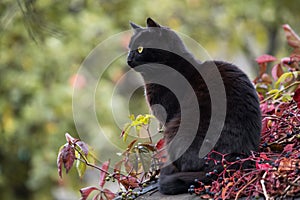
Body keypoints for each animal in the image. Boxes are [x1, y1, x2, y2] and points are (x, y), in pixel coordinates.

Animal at [126, 18, 260, 195]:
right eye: (129, 49)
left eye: (140, 49)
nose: (128, 59)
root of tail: (235, 157)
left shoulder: (168, 117)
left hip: (177, 128)